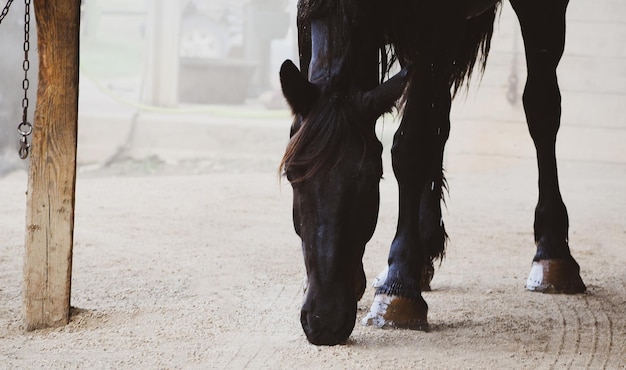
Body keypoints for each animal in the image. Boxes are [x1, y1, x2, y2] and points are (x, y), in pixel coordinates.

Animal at [278, 0, 584, 346]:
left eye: (370, 177)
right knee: (440, 120)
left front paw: (399, 288)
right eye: (291, 175)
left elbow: (410, 147)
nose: (323, 319)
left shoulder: (440, 29)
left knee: (541, 107)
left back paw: (553, 254)